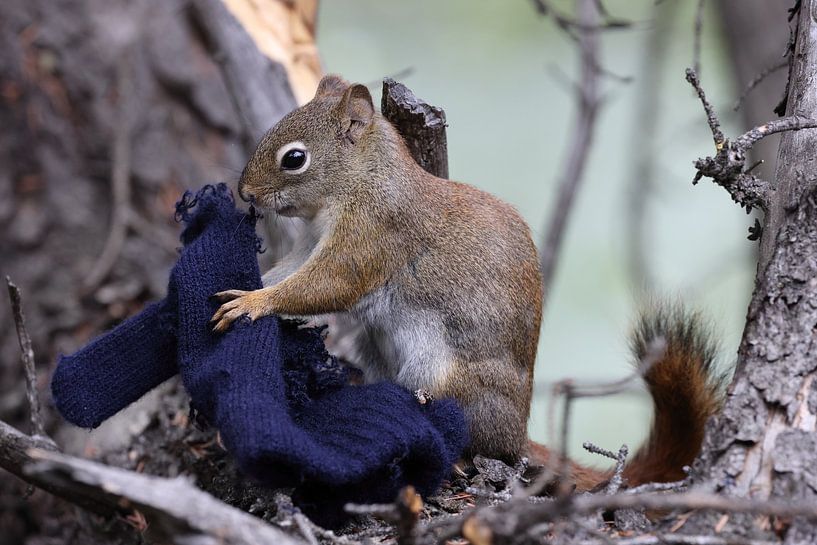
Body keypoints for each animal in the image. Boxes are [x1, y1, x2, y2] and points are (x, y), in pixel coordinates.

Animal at [211, 74, 724, 489]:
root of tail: (516, 436)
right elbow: (291, 270)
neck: (362, 180)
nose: (246, 193)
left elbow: (329, 283)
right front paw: (249, 285)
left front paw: (254, 303)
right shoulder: (311, 242)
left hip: (448, 384)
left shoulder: (374, 234)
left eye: (294, 159)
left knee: (473, 440)